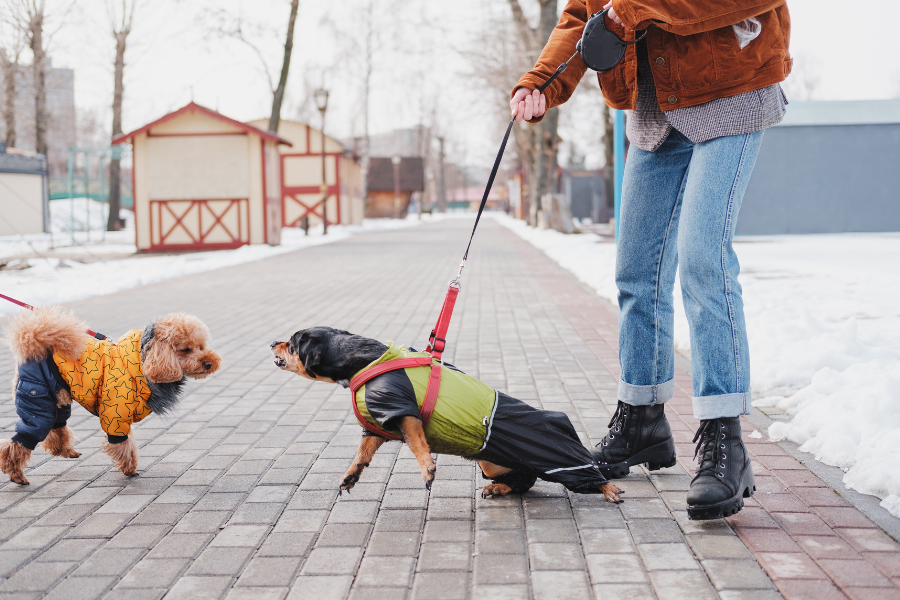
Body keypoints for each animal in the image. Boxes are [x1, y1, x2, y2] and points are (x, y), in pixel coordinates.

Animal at [270, 328, 624, 502]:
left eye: (292, 343)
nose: (273, 342)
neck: (363, 360)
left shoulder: (403, 411)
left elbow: (417, 444)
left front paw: (428, 469)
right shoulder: (379, 423)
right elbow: (362, 453)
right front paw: (350, 476)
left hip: (561, 459)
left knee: (589, 475)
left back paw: (609, 490)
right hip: (492, 463)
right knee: (524, 481)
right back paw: (498, 489)